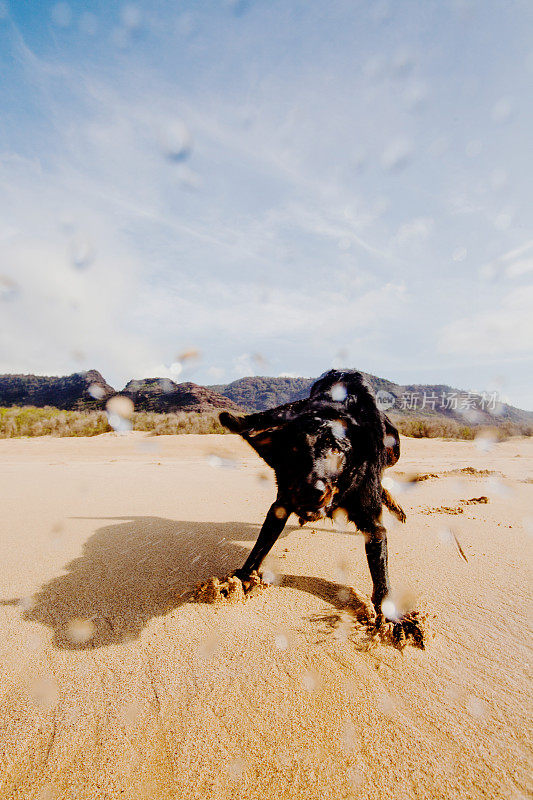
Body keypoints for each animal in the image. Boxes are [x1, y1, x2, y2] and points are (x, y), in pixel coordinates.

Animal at [218, 368, 422, 644]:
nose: (309, 491)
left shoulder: (373, 525)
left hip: (394, 451)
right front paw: (239, 580)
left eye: (337, 449)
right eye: (293, 449)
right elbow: (259, 548)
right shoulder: (280, 507)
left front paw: (392, 618)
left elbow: (381, 578)